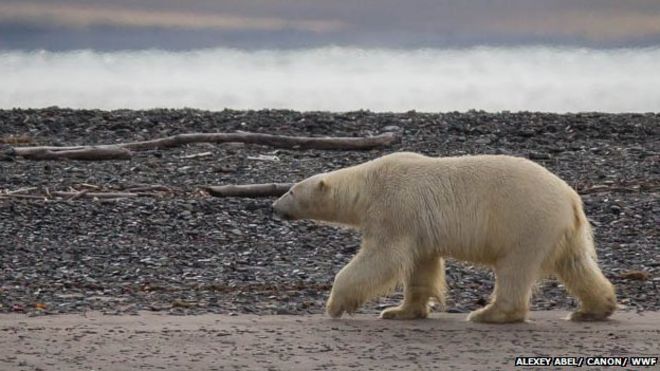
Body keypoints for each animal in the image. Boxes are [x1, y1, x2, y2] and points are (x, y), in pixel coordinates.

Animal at [270, 153, 616, 324]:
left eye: (291, 191)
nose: (274, 206)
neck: (369, 183)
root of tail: (571, 198)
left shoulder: (395, 209)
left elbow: (381, 259)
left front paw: (335, 305)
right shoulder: (418, 228)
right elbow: (421, 266)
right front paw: (400, 311)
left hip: (525, 221)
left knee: (514, 269)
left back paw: (489, 314)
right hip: (562, 232)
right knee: (576, 265)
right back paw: (593, 309)